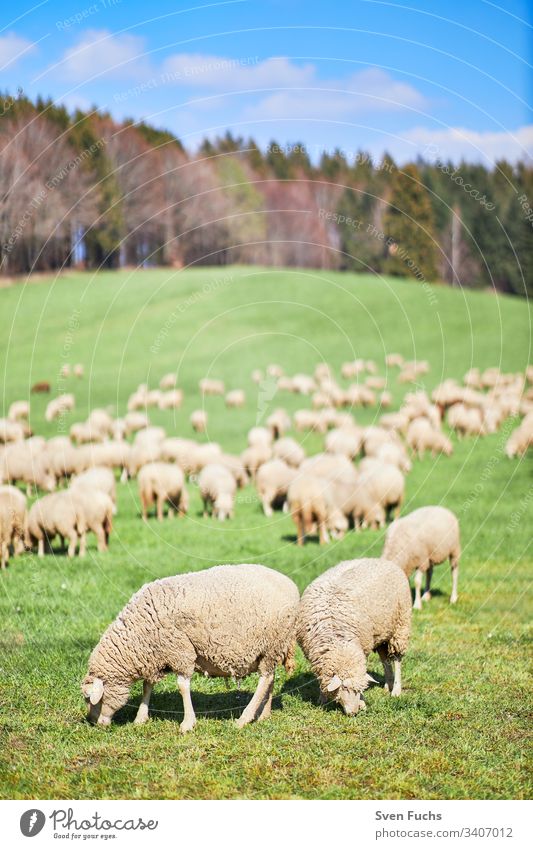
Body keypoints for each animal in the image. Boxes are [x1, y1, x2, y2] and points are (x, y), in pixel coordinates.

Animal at [83, 560, 300, 732]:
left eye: (90, 698)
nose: (92, 723)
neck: (139, 631)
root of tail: (289, 583)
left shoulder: (179, 650)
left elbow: (182, 686)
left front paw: (187, 723)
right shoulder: (157, 654)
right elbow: (147, 685)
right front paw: (141, 718)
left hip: (272, 643)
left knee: (265, 679)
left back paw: (244, 719)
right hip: (272, 649)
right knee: (270, 677)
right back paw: (264, 715)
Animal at [298, 560, 410, 712]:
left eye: (359, 689)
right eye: (344, 687)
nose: (354, 712)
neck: (337, 640)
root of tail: (384, 561)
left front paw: (362, 702)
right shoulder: (317, 656)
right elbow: (322, 677)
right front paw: (322, 698)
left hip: (400, 625)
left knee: (397, 659)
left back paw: (396, 690)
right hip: (382, 632)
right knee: (385, 659)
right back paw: (388, 685)